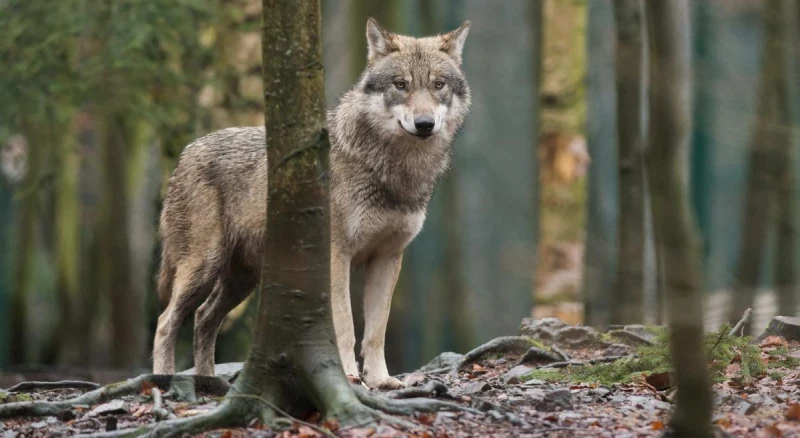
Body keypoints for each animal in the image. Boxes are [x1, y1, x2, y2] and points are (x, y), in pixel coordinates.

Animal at [153, 17, 472, 388]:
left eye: (438, 85)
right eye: (400, 85)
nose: (424, 124)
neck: (394, 171)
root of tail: (186, 152)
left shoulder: (388, 257)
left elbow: (376, 331)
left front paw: (380, 380)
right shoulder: (337, 255)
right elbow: (346, 326)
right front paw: (348, 376)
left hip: (241, 280)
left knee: (204, 318)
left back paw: (209, 382)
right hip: (203, 268)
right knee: (166, 321)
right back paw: (163, 380)